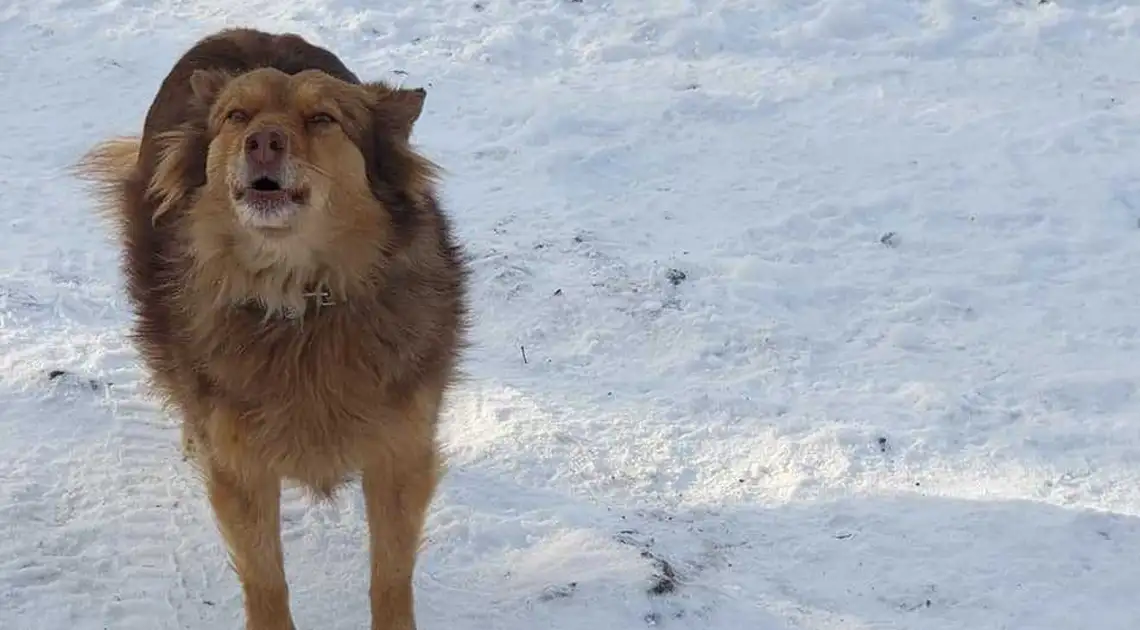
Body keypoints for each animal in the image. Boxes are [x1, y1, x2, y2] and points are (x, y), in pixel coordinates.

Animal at [78, 29, 467, 628]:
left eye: (323, 119)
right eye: (237, 116)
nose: (263, 141)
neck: (300, 301)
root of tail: (237, 29)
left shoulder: (400, 453)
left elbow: (391, 576)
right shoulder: (242, 469)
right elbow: (265, 578)